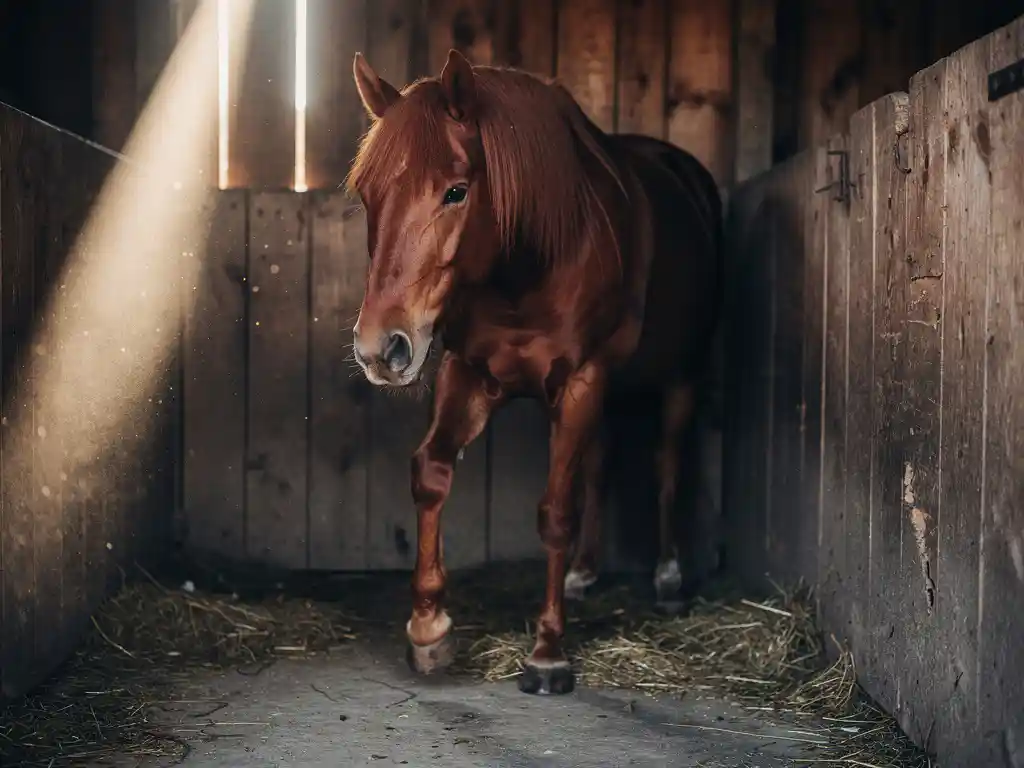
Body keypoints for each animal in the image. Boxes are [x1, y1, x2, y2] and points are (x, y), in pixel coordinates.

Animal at [348, 49, 723, 695]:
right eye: (369, 195)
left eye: (456, 191)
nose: (380, 349)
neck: (529, 268)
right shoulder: (468, 373)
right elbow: (432, 474)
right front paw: (428, 627)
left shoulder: (581, 381)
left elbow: (556, 511)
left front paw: (548, 653)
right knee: (600, 466)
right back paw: (585, 573)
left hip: (682, 377)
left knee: (666, 466)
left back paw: (669, 580)